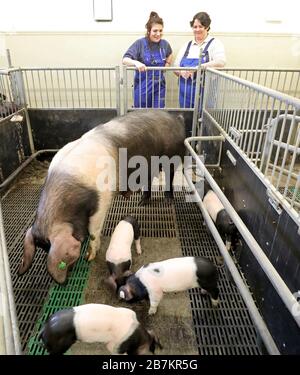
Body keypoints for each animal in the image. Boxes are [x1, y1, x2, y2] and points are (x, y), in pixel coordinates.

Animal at [18, 110, 185, 284]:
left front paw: (89, 257)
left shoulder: (102, 201)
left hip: (172, 157)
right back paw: (141, 203)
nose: (63, 282)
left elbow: (94, 231)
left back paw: (168, 200)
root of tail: (176, 118)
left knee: (170, 176)